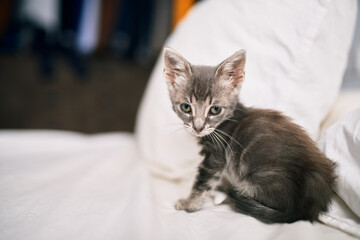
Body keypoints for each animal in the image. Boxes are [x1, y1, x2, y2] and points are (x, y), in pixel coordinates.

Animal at [163, 47, 338, 223]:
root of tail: (308, 207)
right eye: (186, 107)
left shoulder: (215, 155)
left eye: (215, 110)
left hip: (256, 177)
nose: (198, 128)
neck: (222, 123)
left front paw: (189, 204)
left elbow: (202, 181)